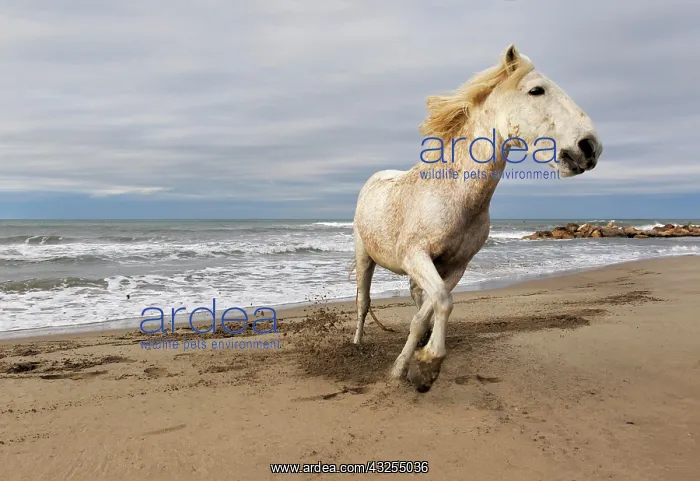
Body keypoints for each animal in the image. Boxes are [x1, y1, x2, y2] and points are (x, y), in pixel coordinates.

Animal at [351, 44, 603, 393]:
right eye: (536, 90)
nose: (590, 147)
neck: (454, 194)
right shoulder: (415, 256)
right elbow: (441, 302)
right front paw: (418, 367)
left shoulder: (456, 267)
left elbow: (431, 309)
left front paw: (421, 361)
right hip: (365, 257)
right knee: (363, 302)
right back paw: (356, 344)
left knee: (416, 295)